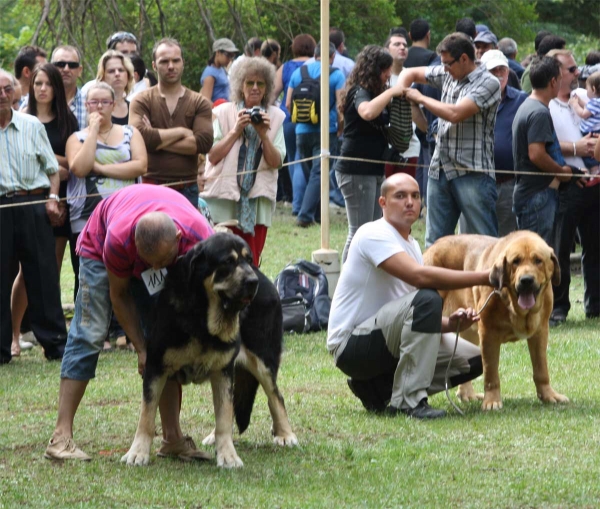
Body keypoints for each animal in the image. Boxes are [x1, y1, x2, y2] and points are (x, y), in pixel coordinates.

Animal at [122, 232, 298, 466]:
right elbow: (147, 415)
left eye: (248, 260)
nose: (252, 282)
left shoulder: (223, 370)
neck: (203, 317)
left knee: (275, 396)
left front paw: (228, 455)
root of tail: (268, 281)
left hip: (262, 361)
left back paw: (285, 434)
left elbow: (224, 415)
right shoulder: (155, 367)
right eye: (227, 262)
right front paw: (138, 452)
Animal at [424, 232, 568, 410]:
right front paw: (492, 401)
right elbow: (491, 372)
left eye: (538, 260)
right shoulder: (488, 333)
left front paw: (548, 395)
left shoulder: (540, 332)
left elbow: (541, 369)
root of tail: (433, 246)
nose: (526, 280)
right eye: (516, 261)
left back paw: (468, 395)